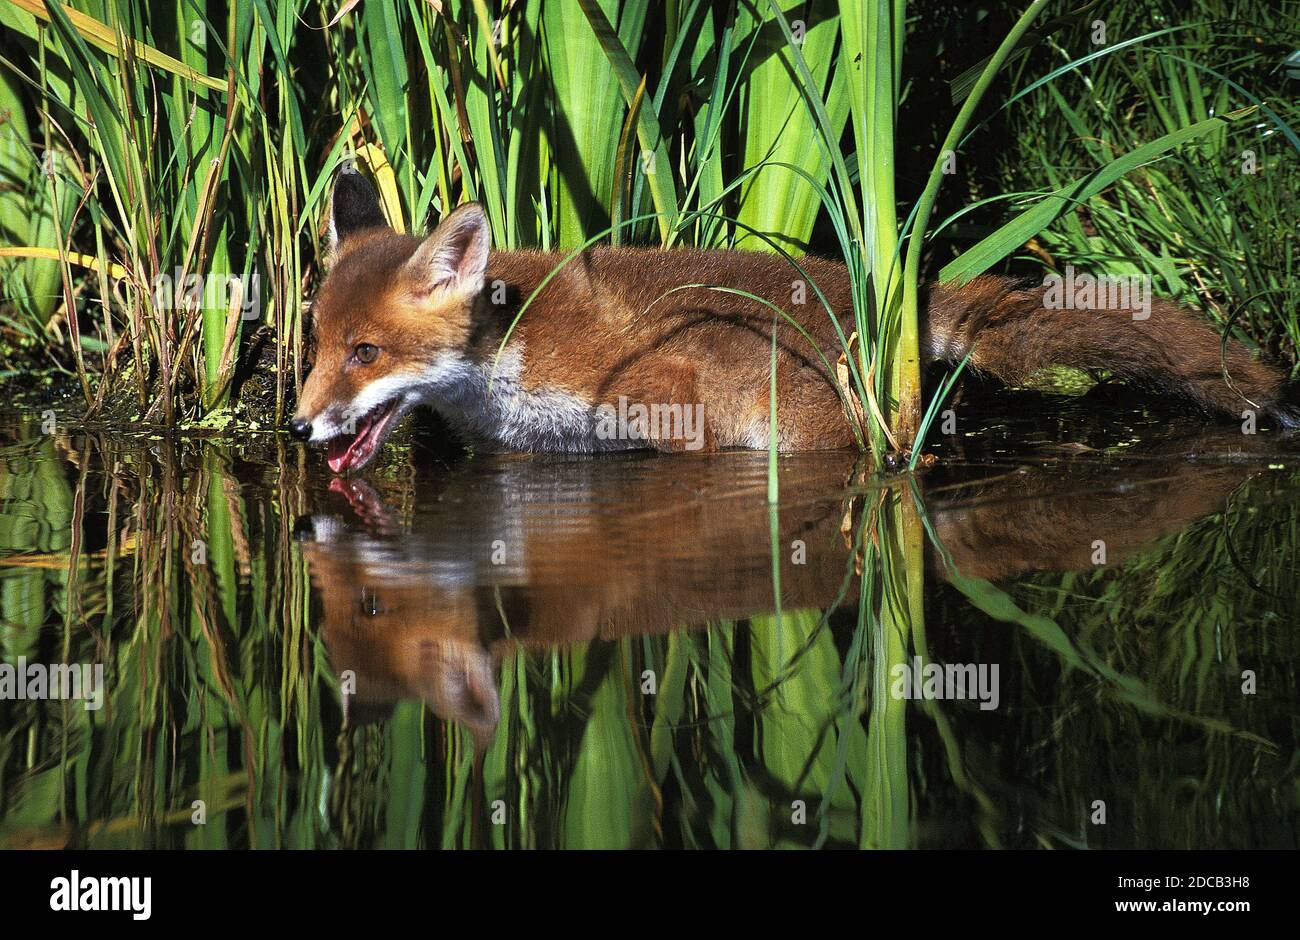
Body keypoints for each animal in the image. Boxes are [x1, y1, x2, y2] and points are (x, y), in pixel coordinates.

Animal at [289, 169, 1294, 470]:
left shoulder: (670, 404)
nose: (296, 426)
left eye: (366, 351)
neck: (513, 353)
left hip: (808, 430)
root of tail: (889, 299)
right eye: (317, 347)